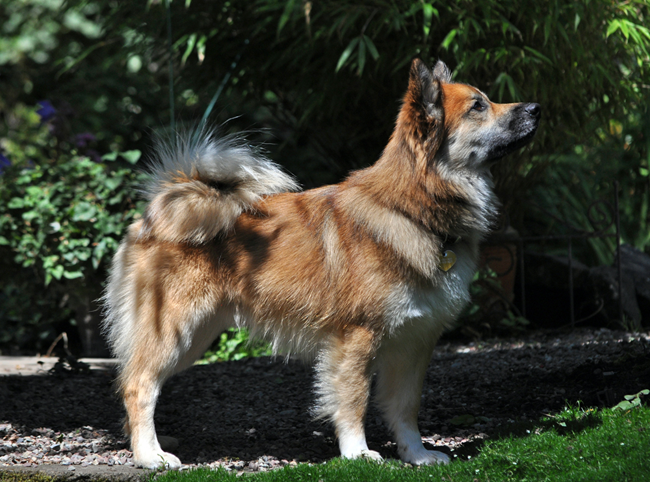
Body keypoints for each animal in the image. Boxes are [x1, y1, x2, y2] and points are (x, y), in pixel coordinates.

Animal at [101, 58, 536, 468]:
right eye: (478, 106)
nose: (535, 107)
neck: (412, 210)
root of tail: (157, 212)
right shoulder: (357, 338)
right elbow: (353, 401)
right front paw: (358, 453)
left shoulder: (413, 342)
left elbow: (405, 408)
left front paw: (416, 455)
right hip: (175, 328)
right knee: (139, 385)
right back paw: (150, 455)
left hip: (197, 336)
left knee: (139, 382)